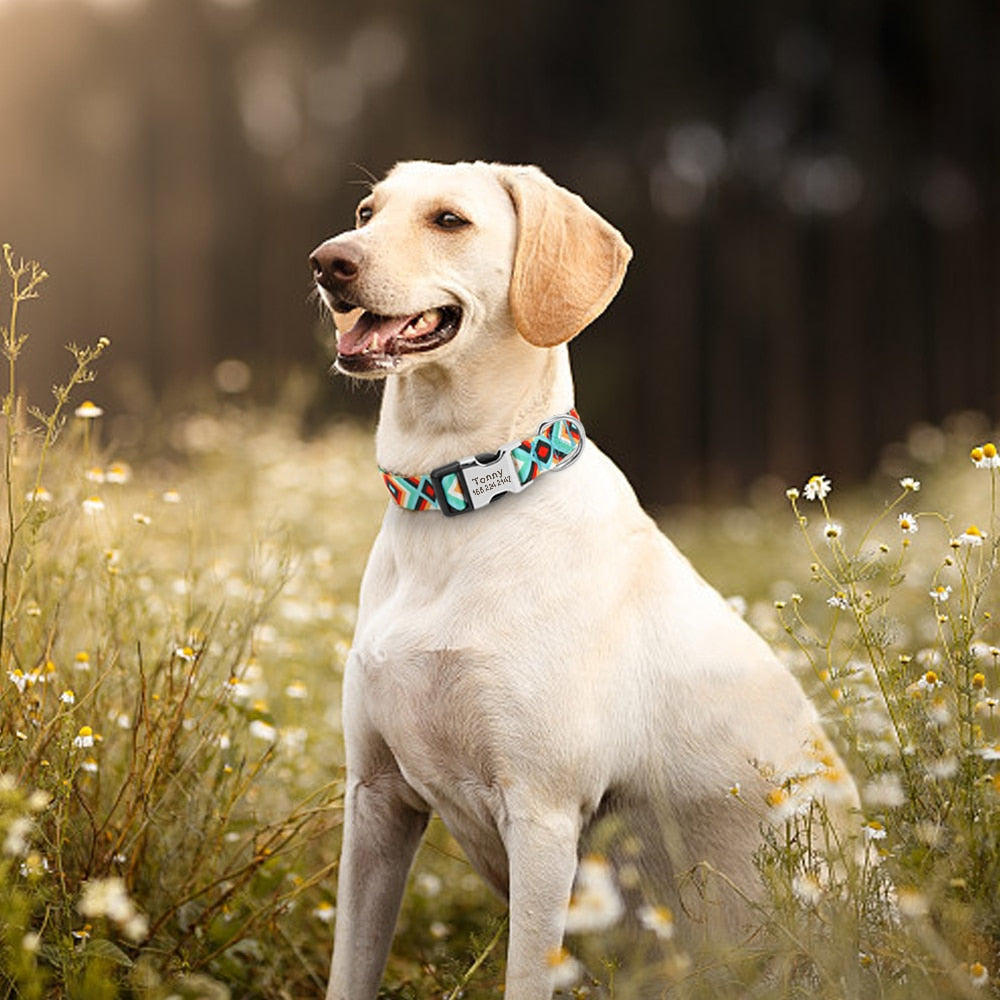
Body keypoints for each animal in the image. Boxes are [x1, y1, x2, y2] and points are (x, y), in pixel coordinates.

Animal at [308, 160, 856, 1000]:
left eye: (448, 220)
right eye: (368, 211)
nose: (328, 261)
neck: (457, 502)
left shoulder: (542, 818)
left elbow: (525, 977)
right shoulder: (374, 800)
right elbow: (350, 967)